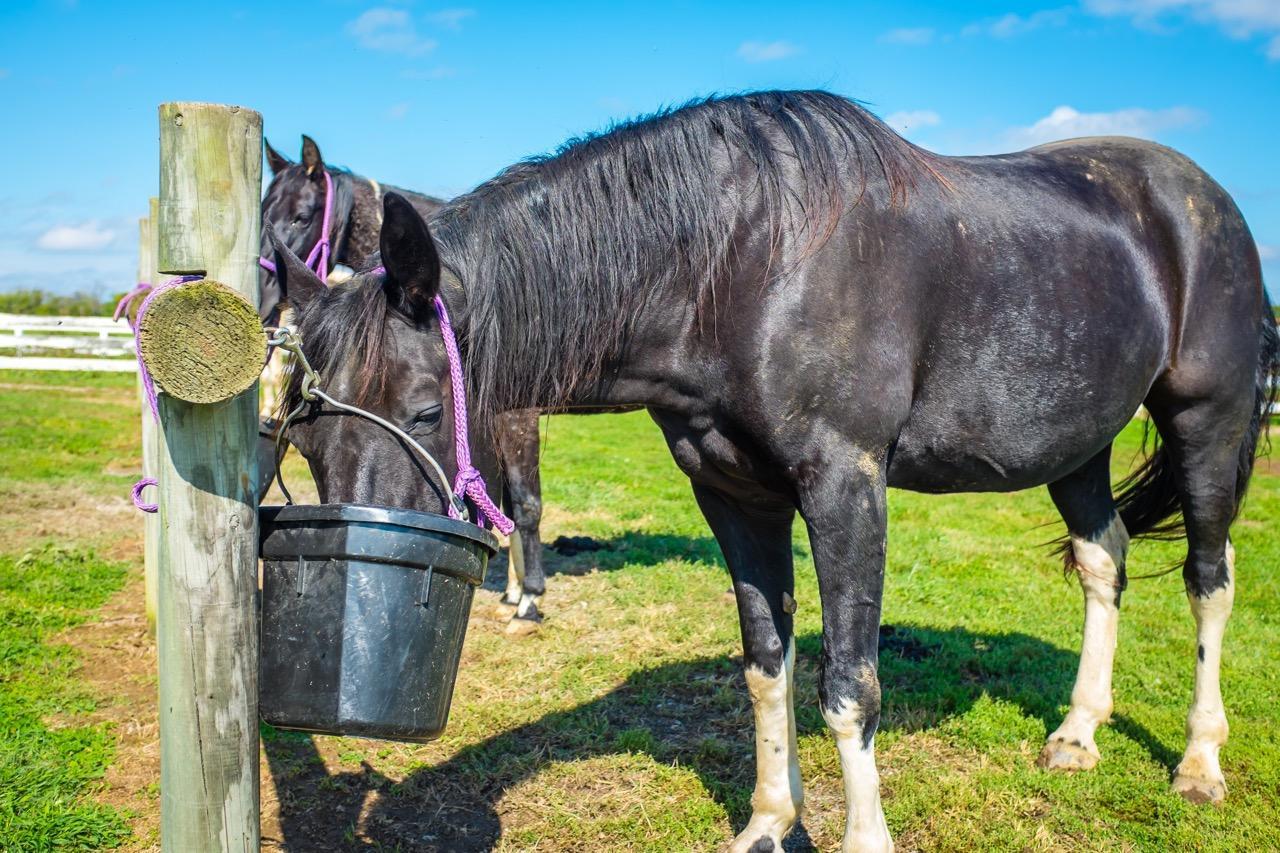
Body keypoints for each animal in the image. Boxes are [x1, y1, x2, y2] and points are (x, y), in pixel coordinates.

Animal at [258, 136, 550, 627]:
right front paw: (514, 592)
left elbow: (525, 503)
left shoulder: (517, 415)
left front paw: (528, 598)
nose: (260, 299)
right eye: (300, 439)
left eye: (301, 216)